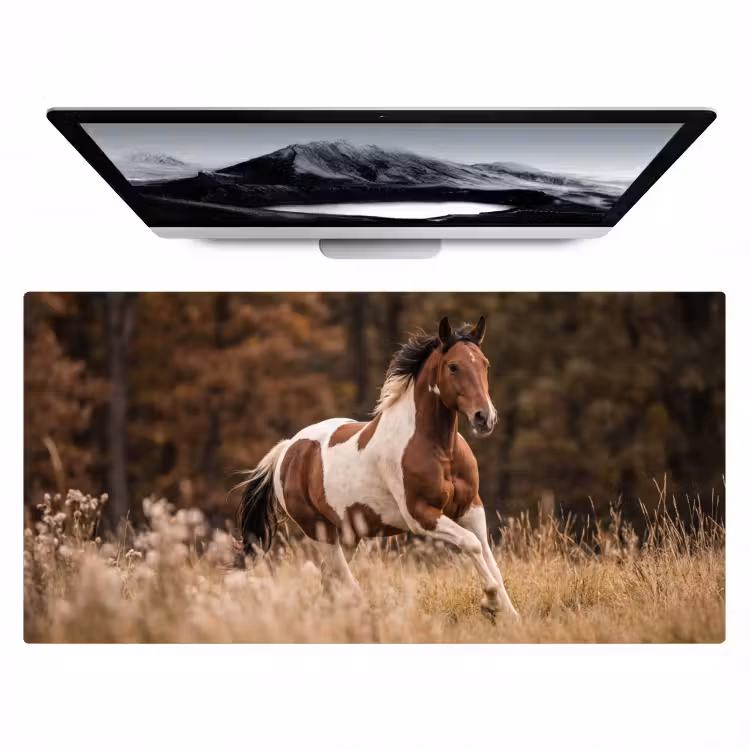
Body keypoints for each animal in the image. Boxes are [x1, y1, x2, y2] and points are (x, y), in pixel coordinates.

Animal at [237, 315, 519, 619]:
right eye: (453, 366)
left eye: (485, 364)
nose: (484, 418)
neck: (441, 450)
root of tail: (288, 449)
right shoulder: (420, 515)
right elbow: (471, 544)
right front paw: (490, 602)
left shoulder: (471, 508)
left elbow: (489, 558)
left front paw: (510, 615)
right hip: (319, 530)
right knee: (341, 577)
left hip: (348, 534)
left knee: (330, 578)